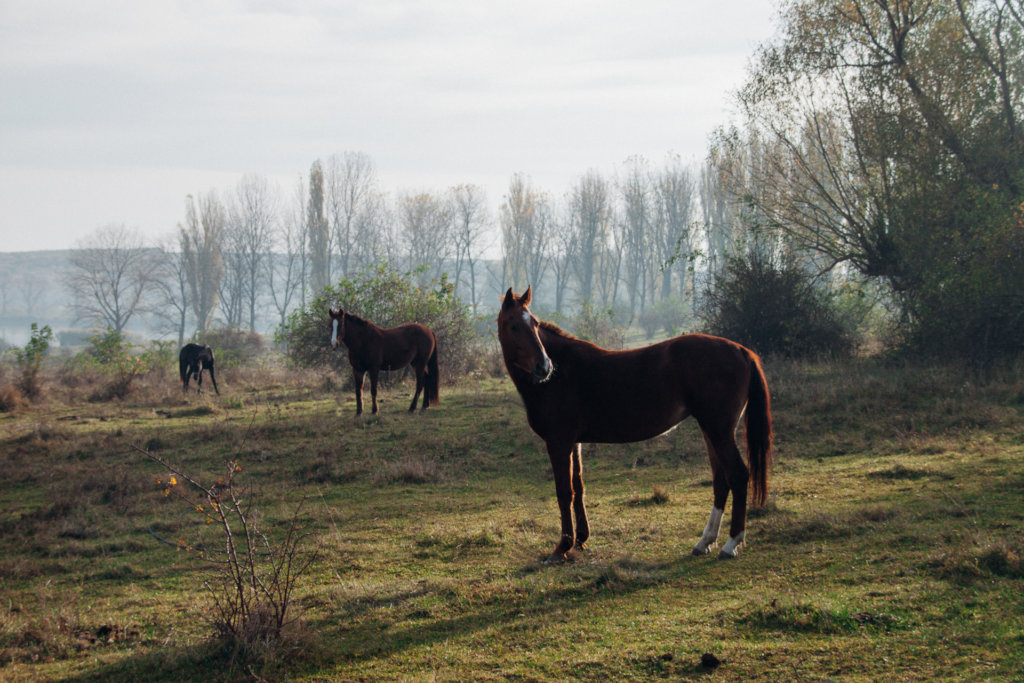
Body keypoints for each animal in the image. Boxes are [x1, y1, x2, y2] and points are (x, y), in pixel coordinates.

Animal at [497, 287, 773, 562]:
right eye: (513, 326)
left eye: (535, 324)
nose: (544, 366)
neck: (563, 374)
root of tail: (741, 350)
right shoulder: (573, 443)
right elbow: (579, 487)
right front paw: (581, 540)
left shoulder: (558, 443)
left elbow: (565, 492)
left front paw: (562, 547)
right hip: (711, 431)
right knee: (721, 481)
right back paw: (704, 542)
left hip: (719, 431)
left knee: (738, 476)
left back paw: (731, 544)